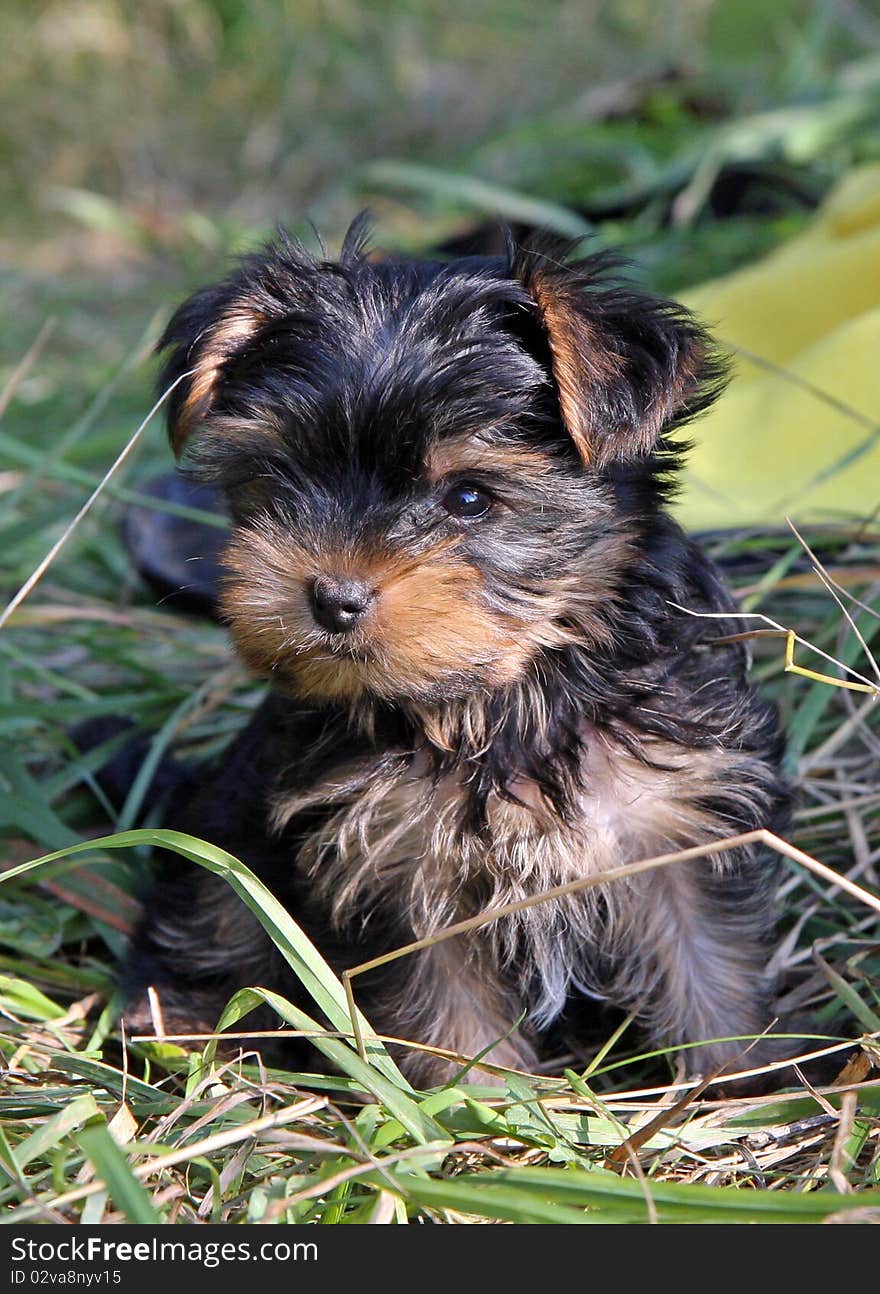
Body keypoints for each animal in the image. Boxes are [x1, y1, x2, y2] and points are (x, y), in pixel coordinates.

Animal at [122, 219, 792, 1081]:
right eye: (280, 476)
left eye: (470, 497)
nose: (333, 597)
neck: (507, 695)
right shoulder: (397, 861)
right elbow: (447, 1013)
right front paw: (482, 1105)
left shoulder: (675, 824)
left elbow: (709, 966)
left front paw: (743, 1083)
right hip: (225, 832)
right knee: (212, 913)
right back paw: (181, 1024)